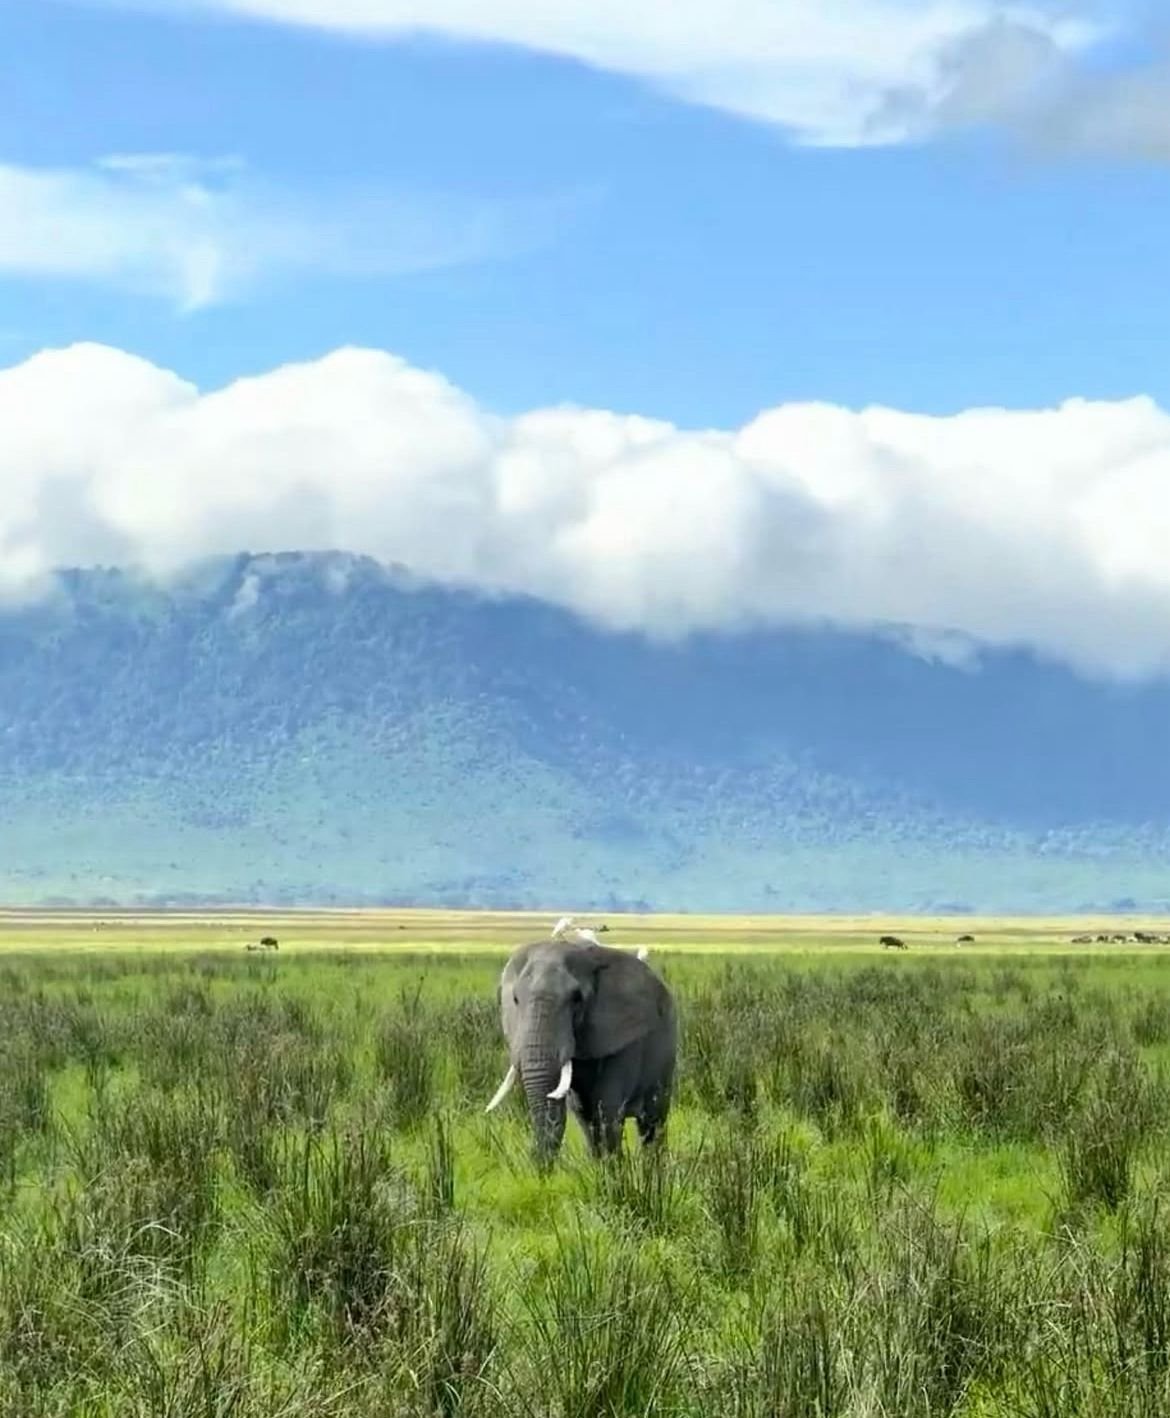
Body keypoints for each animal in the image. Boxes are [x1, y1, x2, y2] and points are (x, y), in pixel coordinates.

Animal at [484, 936, 677, 1165]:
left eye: (577, 999)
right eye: (515, 999)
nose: (539, 1171)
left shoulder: (619, 1038)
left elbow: (606, 1108)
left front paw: (613, 1169)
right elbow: (583, 1112)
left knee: (652, 1120)